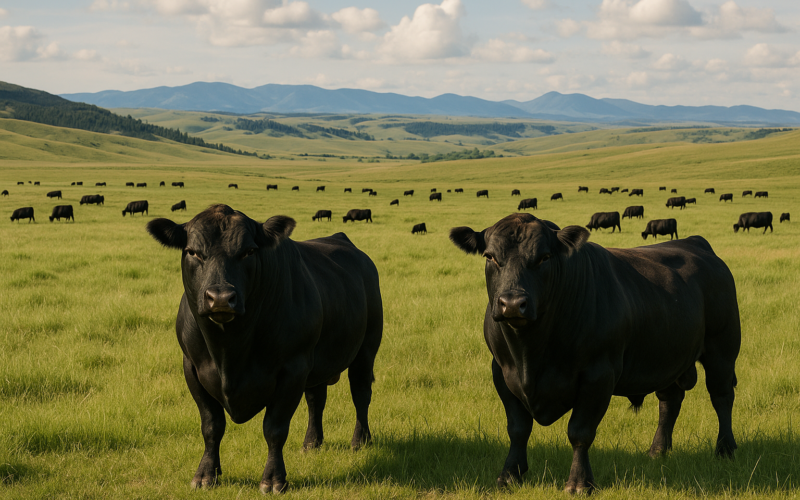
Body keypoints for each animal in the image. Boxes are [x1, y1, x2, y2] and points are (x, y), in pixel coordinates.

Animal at [145, 204, 383, 495]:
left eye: (249, 251)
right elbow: (211, 425)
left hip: (366, 349)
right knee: (316, 400)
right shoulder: (192, 367)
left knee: (361, 394)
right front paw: (206, 474)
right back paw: (312, 442)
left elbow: (275, 428)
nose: (220, 298)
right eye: (192, 251)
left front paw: (273, 479)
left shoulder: (293, 369)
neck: (229, 352)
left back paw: (360, 440)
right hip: (318, 362)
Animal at [448, 212, 740, 494]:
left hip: (722, 350)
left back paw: (725, 448)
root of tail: (695, 242)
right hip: (666, 358)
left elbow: (580, 431)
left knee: (722, 397)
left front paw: (579, 482)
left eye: (544, 257)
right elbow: (518, 428)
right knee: (670, 401)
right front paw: (509, 476)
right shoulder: (501, 372)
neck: (529, 354)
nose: (511, 304)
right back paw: (658, 451)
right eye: (490, 256)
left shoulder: (598, 375)